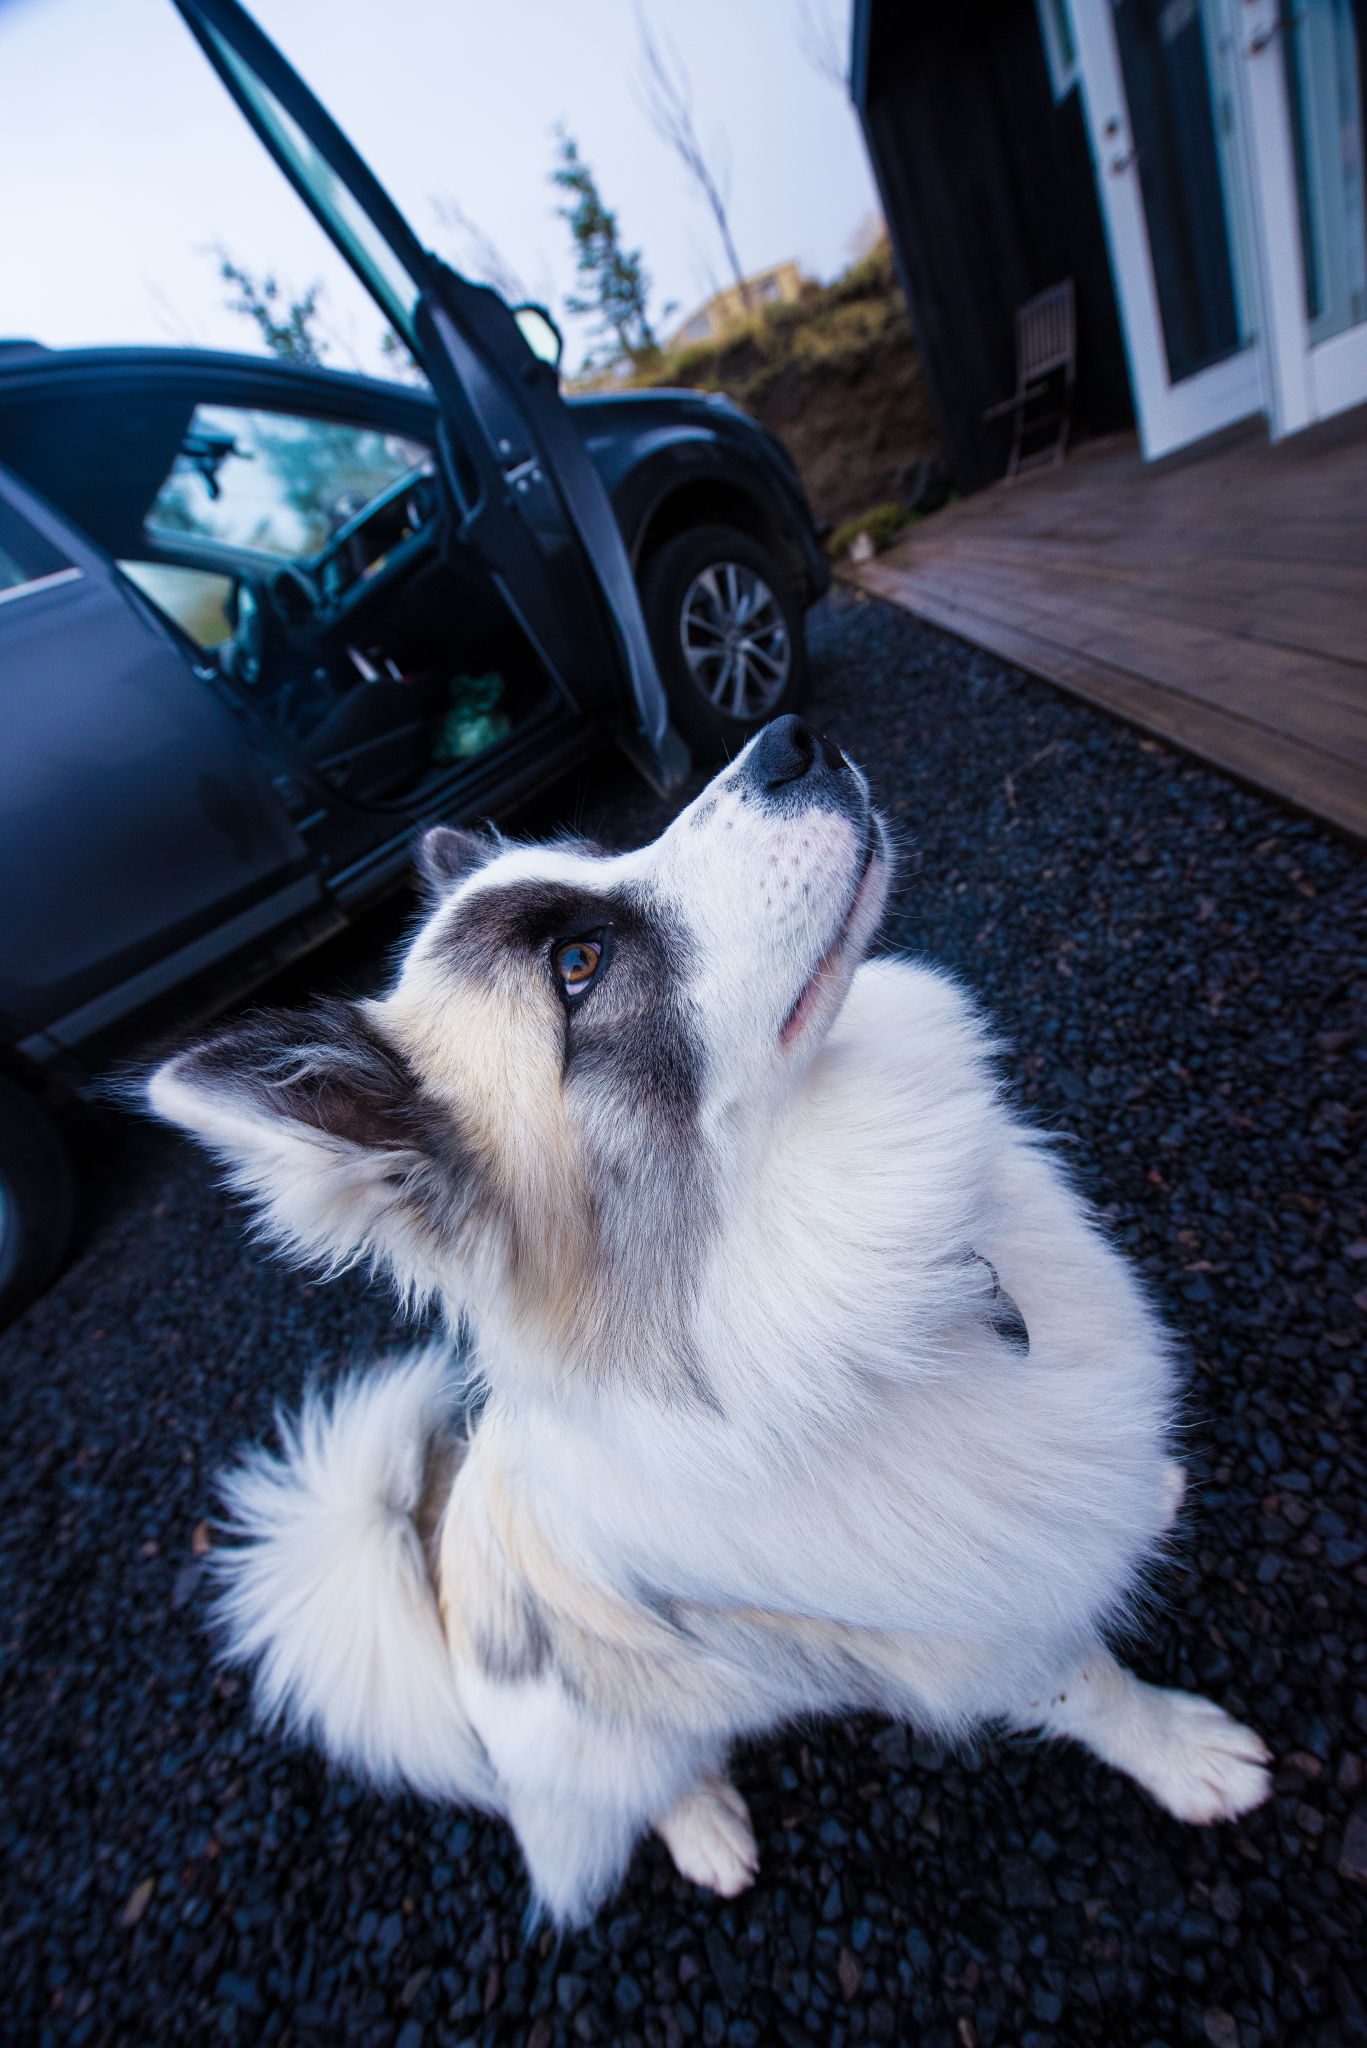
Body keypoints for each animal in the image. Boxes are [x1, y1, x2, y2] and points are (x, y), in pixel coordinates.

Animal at [149, 716, 1270, 1916]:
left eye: (602, 848)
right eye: (577, 964)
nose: (790, 741)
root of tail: (438, 1597)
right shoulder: (981, 1642)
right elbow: (1092, 1688)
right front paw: (1183, 1756)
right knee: (644, 1787)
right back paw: (706, 1829)